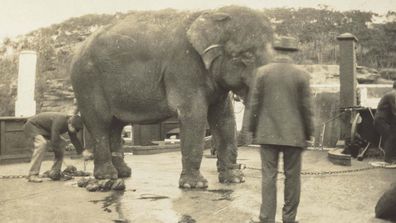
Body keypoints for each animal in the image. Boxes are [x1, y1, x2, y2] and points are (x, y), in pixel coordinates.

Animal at [70, 5, 272, 188]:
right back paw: (107, 176)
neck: (212, 13)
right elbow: (194, 115)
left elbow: (224, 119)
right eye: (246, 55)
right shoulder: (184, 67)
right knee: (100, 123)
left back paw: (123, 173)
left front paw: (235, 180)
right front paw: (195, 185)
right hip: (87, 81)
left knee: (116, 125)